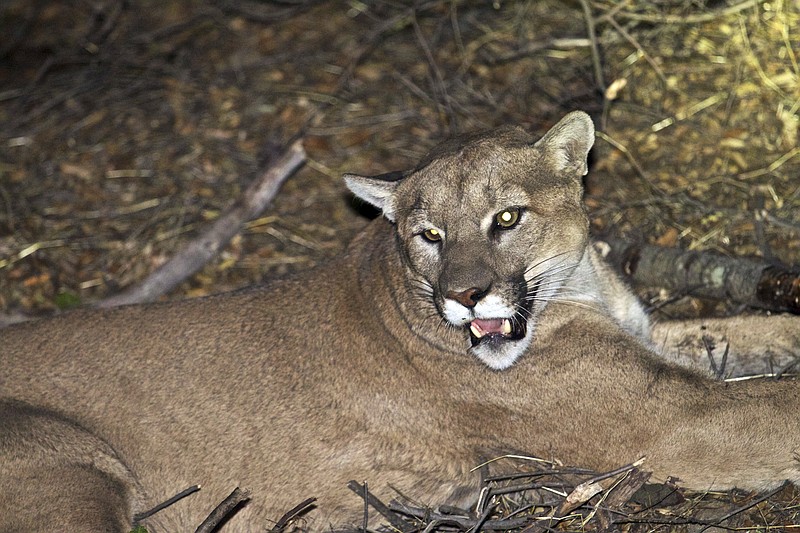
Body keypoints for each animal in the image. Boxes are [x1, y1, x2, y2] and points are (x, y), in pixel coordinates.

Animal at [1, 110, 800, 528]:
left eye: (506, 217)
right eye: (430, 235)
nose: (469, 295)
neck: (578, 286)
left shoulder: (660, 348)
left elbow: (754, 335)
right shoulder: (673, 419)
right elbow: (780, 400)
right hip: (75, 472)